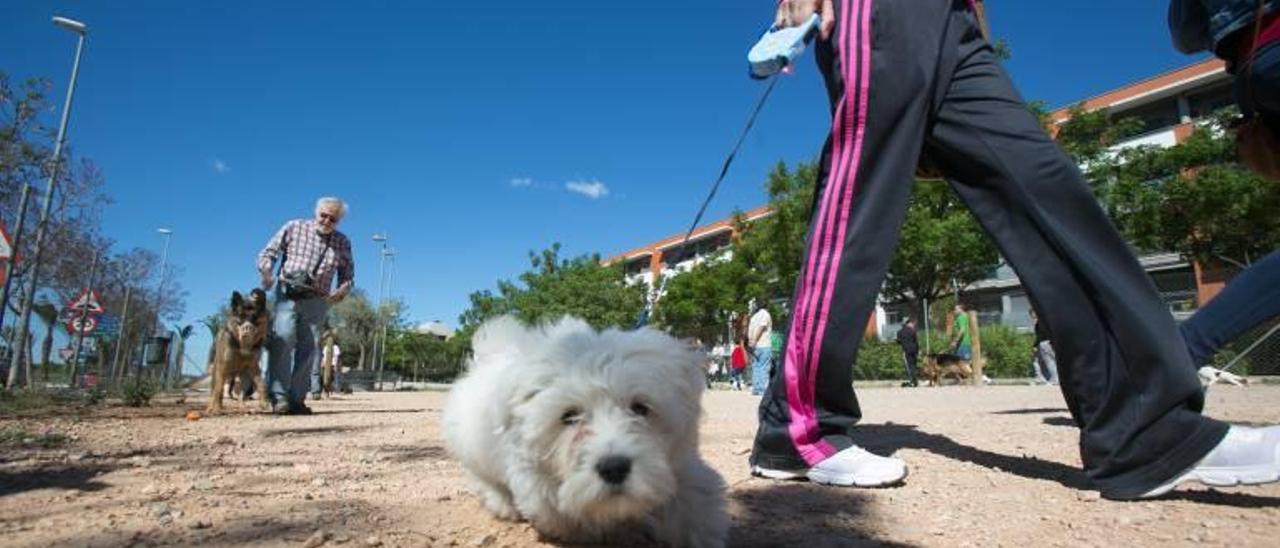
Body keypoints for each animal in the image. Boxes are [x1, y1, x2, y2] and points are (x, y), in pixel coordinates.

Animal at [440, 316, 727, 548]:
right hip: (474, 448)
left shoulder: (681, 463)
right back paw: (503, 503)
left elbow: (694, 498)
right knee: (484, 477)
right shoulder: (541, 485)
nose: (614, 468)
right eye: (569, 416)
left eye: (640, 408)